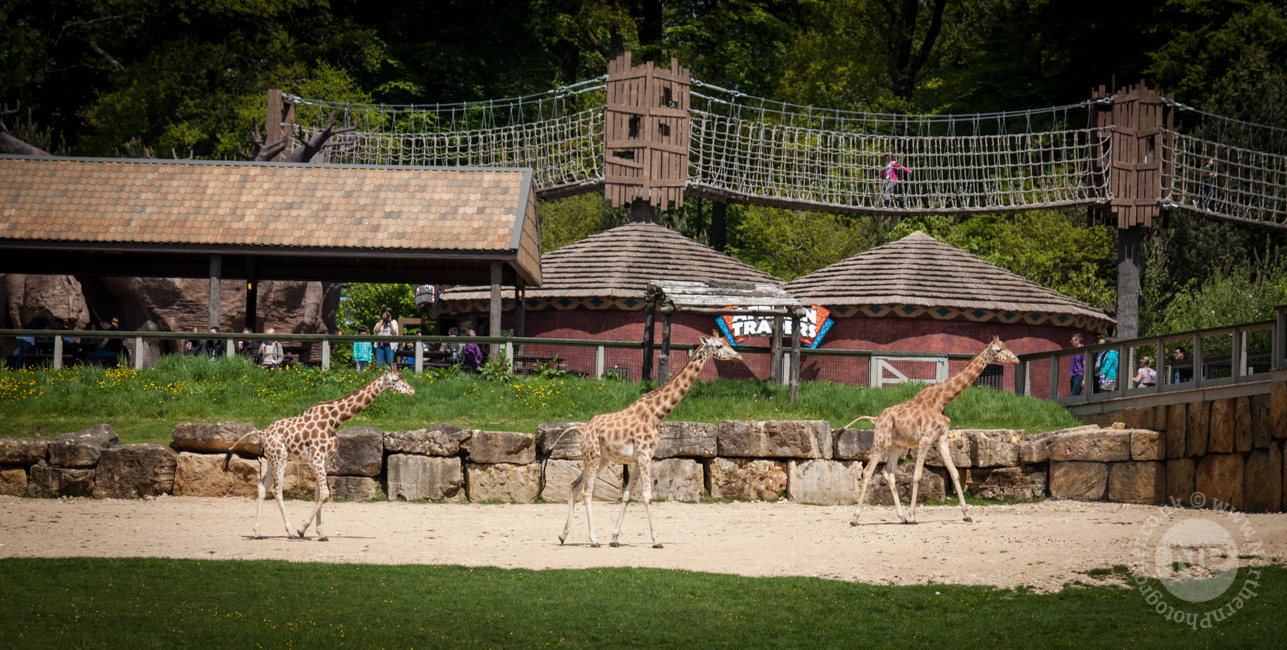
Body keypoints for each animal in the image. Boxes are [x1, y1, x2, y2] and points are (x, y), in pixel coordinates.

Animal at [223, 368, 414, 540]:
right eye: (395, 380)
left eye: (402, 377)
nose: (412, 390)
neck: (334, 420)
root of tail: (263, 432)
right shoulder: (316, 458)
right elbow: (325, 494)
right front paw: (302, 530)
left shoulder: (325, 460)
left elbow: (317, 494)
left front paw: (320, 533)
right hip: (280, 457)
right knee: (277, 490)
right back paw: (290, 532)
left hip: (271, 459)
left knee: (262, 487)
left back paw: (256, 532)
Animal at [553, 334, 746, 548]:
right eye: (719, 346)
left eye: (728, 343)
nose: (738, 356)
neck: (656, 414)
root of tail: (582, 429)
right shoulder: (645, 456)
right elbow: (647, 497)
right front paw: (656, 540)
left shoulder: (639, 459)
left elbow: (627, 496)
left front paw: (615, 538)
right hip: (592, 455)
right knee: (587, 491)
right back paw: (593, 540)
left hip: (601, 458)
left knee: (575, 485)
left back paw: (563, 535)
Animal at [849, 337, 1019, 525]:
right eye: (998, 350)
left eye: (1006, 346)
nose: (1016, 359)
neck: (943, 399)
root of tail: (876, 419)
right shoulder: (925, 438)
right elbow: (917, 475)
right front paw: (913, 516)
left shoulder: (941, 438)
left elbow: (954, 473)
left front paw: (966, 514)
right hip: (881, 440)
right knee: (867, 471)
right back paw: (855, 518)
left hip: (895, 445)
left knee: (888, 474)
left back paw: (901, 517)